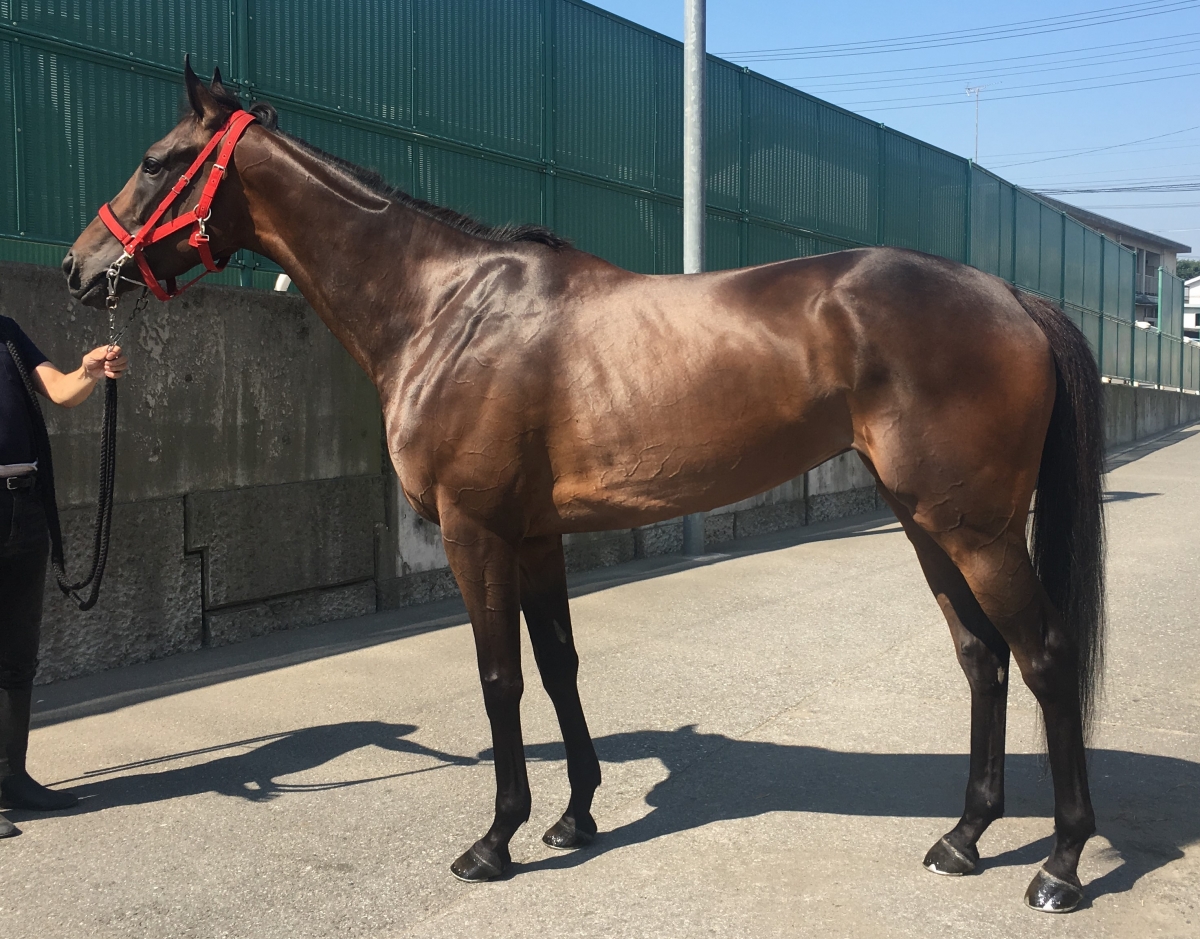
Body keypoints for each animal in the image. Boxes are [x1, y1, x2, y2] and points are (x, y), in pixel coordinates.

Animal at [63, 63, 1106, 913]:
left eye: (156, 162)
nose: (78, 269)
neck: (445, 307)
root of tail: (1013, 296)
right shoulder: (535, 535)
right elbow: (560, 664)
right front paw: (574, 817)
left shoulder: (476, 532)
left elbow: (500, 677)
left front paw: (495, 840)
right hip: (929, 521)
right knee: (982, 657)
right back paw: (964, 839)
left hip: (975, 528)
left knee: (1044, 653)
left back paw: (1059, 865)